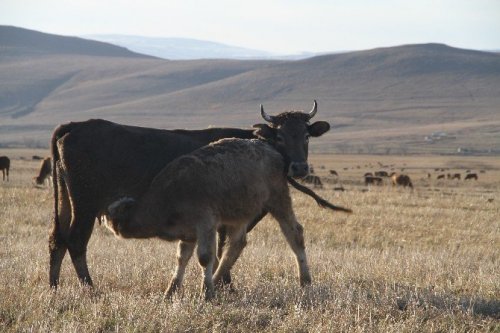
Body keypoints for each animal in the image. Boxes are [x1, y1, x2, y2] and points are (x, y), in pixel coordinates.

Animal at [48, 100, 338, 288]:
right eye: (280, 136)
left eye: (306, 136)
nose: (299, 167)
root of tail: (73, 126)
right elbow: (222, 248)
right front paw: (224, 285)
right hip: (85, 205)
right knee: (76, 241)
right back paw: (90, 288)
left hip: (65, 201)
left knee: (57, 240)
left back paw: (54, 286)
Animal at [106, 137, 354, 298]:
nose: (112, 223)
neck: (170, 193)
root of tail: (276, 155)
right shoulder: (189, 233)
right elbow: (182, 258)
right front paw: (171, 290)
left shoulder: (205, 224)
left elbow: (205, 257)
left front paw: (206, 293)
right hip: (240, 215)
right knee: (237, 244)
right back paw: (218, 278)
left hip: (279, 201)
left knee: (295, 235)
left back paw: (305, 280)